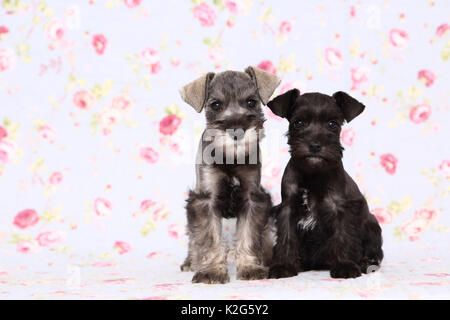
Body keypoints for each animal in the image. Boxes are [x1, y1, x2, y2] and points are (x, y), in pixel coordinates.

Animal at [178, 67, 280, 282]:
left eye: (251, 102)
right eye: (216, 105)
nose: (237, 130)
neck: (231, 158)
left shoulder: (253, 198)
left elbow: (249, 234)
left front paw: (250, 267)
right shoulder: (204, 200)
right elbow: (209, 237)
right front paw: (211, 271)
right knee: (193, 237)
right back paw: (191, 262)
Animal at [268, 89, 384, 278]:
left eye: (332, 124)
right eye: (298, 123)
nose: (315, 145)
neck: (313, 174)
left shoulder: (342, 209)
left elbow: (343, 236)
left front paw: (344, 266)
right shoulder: (287, 209)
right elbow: (286, 236)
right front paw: (283, 265)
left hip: (372, 224)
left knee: (374, 252)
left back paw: (365, 263)